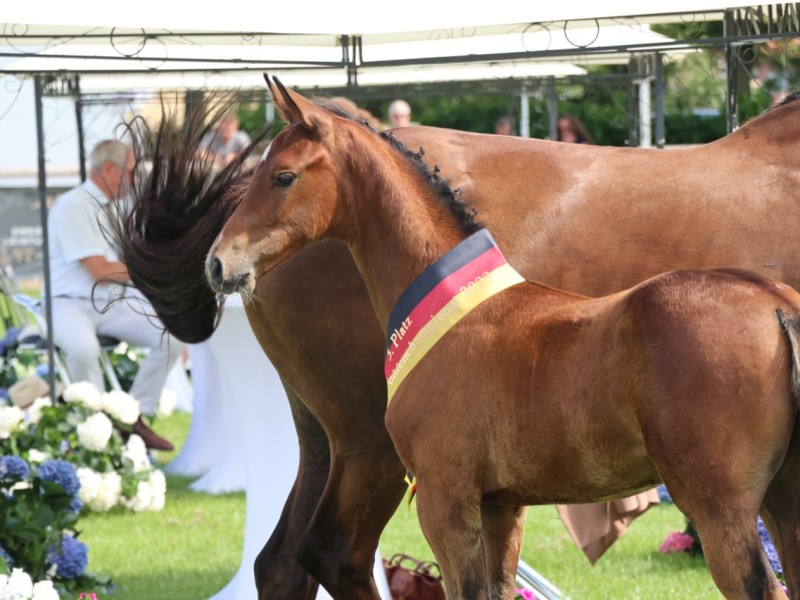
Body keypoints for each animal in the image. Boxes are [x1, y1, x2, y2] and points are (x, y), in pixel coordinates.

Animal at [117, 88, 800, 600]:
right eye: (257, 169)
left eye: (282, 176)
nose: (219, 264)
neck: (454, 300)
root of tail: (774, 303)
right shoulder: (498, 505)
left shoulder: (447, 500)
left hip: (719, 505)